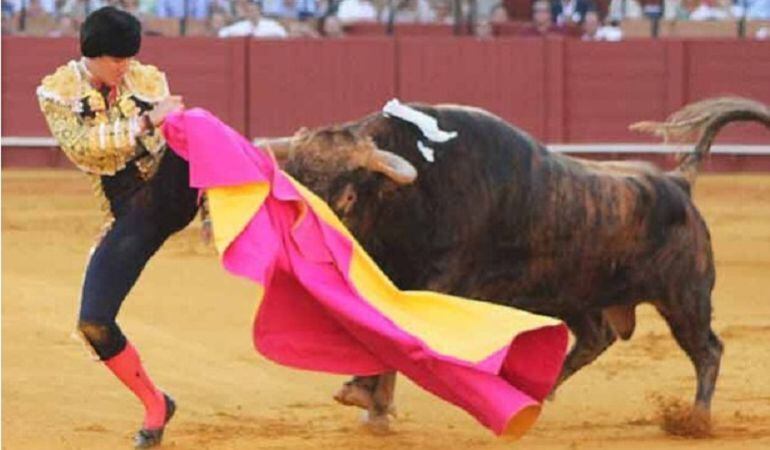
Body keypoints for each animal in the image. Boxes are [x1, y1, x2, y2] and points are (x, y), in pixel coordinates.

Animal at [260, 97, 768, 428]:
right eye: (291, 180)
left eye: (346, 195)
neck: (416, 192)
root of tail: (678, 180)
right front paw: (370, 400)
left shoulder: (437, 283)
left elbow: (399, 336)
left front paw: (370, 400)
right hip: (575, 295)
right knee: (595, 338)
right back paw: (535, 398)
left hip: (685, 298)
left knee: (707, 350)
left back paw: (697, 419)